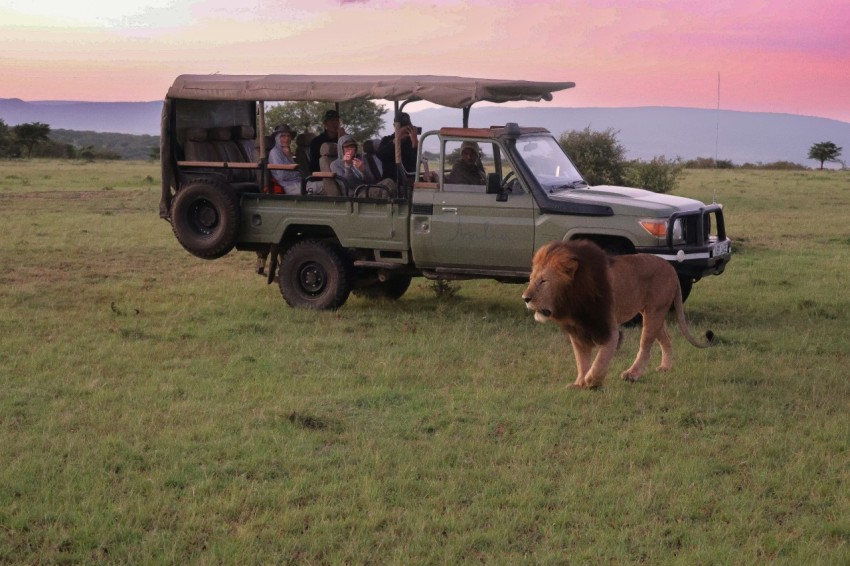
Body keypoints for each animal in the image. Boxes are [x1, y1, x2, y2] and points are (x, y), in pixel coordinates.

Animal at [520, 240, 712, 390]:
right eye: (530, 280)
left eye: (543, 281)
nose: (525, 298)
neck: (571, 304)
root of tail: (671, 268)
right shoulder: (578, 332)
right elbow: (582, 360)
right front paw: (579, 383)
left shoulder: (609, 328)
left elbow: (601, 359)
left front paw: (591, 381)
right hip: (653, 312)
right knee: (667, 338)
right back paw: (665, 367)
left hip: (654, 312)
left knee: (645, 347)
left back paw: (632, 374)